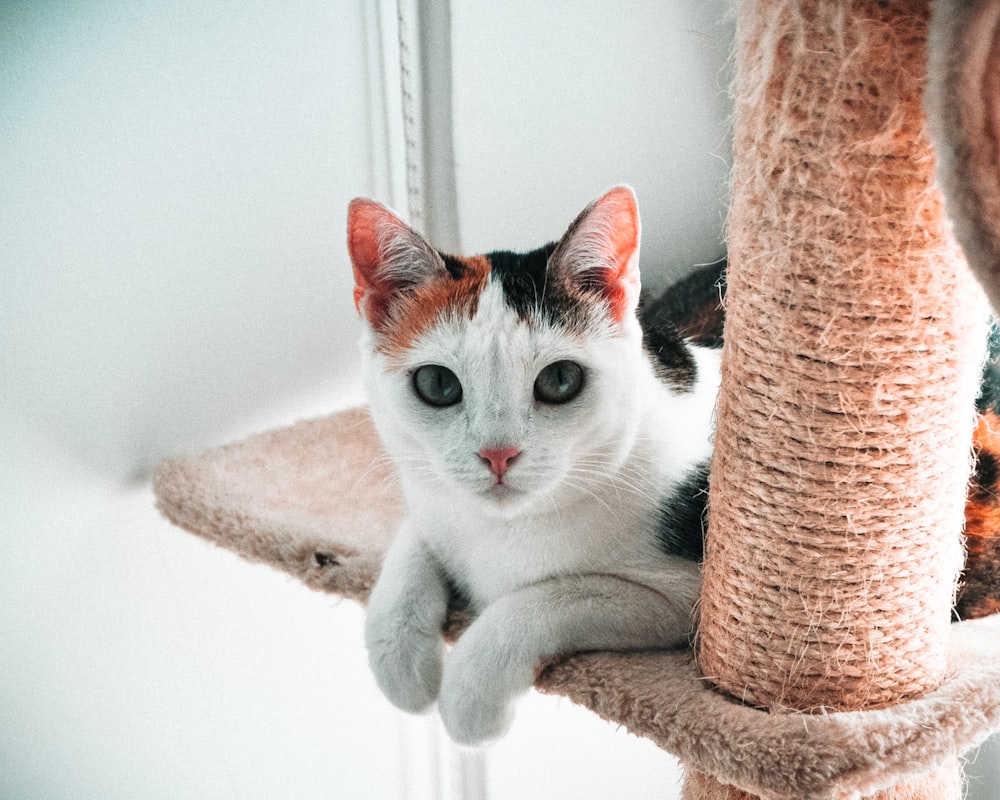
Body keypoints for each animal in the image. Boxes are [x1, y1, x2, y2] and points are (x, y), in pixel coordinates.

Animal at [348, 186, 724, 744]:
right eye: (438, 384)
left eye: (560, 379)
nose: (497, 453)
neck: (505, 530)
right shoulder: (432, 499)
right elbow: (413, 543)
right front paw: (401, 664)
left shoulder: (684, 597)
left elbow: (549, 597)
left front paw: (469, 695)